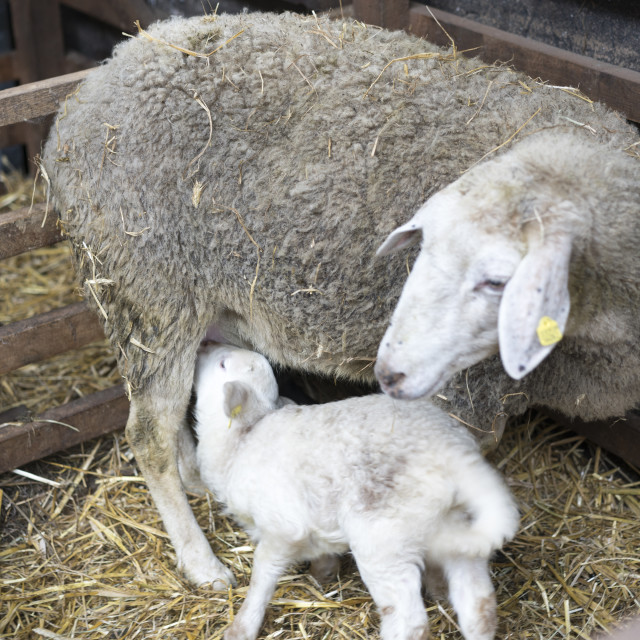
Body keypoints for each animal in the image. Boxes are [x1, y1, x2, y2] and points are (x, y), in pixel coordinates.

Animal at [42, 11, 636, 592]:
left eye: (497, 279)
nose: (392, 368)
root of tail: (91, 88)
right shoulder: (467, 391)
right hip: (148, 291)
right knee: (149, 434)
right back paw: (200, 562)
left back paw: (201, 484)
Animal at [195, 344, 520, 640]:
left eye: (223, 364)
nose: (204, 345)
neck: (239, 443)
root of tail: (456, 454)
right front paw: (323, 574)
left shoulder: (283, 526)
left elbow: (262, 575)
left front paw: (240, 628)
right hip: (459, 527)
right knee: (479, 606)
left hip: (383, 538)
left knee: (410, 621)